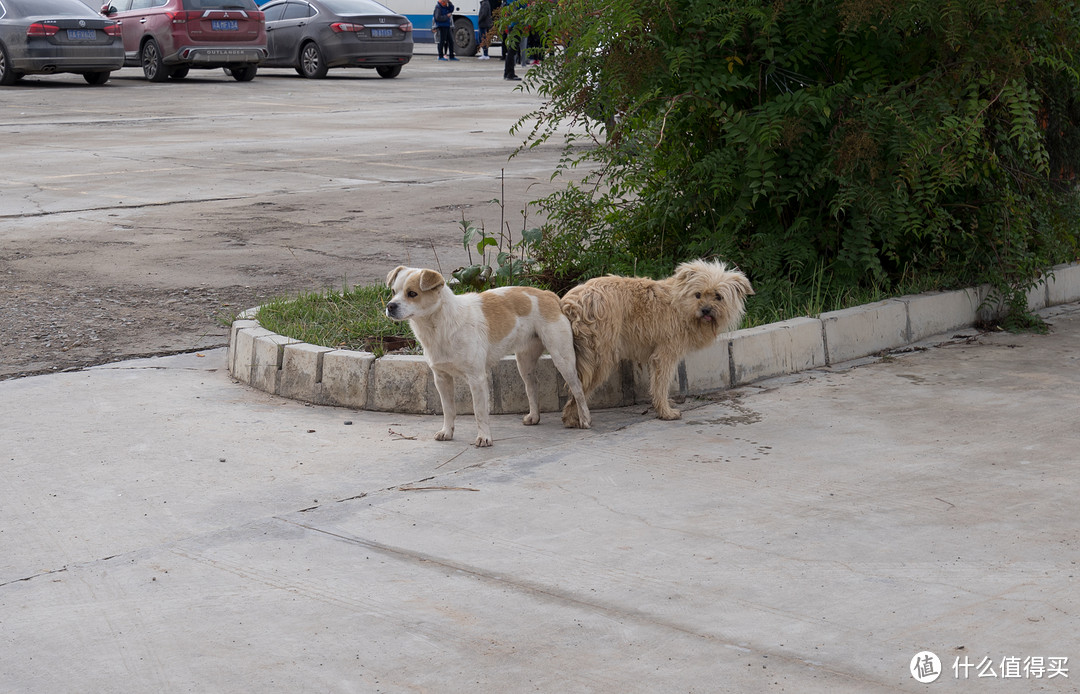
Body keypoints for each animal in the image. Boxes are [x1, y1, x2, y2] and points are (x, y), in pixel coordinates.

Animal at [386, 263, 591, 448]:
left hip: (562, 359)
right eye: (393, 291)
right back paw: (534, 416)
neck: (440, 326)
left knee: (578, 389)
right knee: (532, 386)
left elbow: (479, 412)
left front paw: (484, 437)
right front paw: (447, 432)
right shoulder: (441, 378)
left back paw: (585, 419)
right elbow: (448, 409)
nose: (390, 306)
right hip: (524, 363)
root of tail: (549, 295)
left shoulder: (476, 378)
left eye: (412, 293)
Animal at [561, 259, 756, 425]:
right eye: (698, 294)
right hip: (599, 359)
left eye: (718, 296)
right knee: (578, 388)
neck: (681, 306)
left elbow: (657, 384)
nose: (706, 310)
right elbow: (662, 383)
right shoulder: (665, 355)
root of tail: (573, 302)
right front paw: (665, 412)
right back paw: (572, 418)